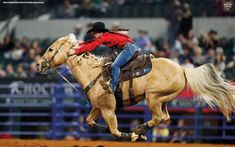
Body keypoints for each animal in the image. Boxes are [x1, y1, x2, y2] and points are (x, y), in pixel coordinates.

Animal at [36, 34, 235, 142]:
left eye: (51, 49)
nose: (38, 65)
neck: (94, 75)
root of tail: (182, 69)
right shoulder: (98, 108)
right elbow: (89, 121)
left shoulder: (108, 109)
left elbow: (115, 131)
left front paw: (130, 135)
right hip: (162, 99)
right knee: (165, 117)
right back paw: (140, 132)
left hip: (153, 97)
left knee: (159, 117)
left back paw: (138, 131)